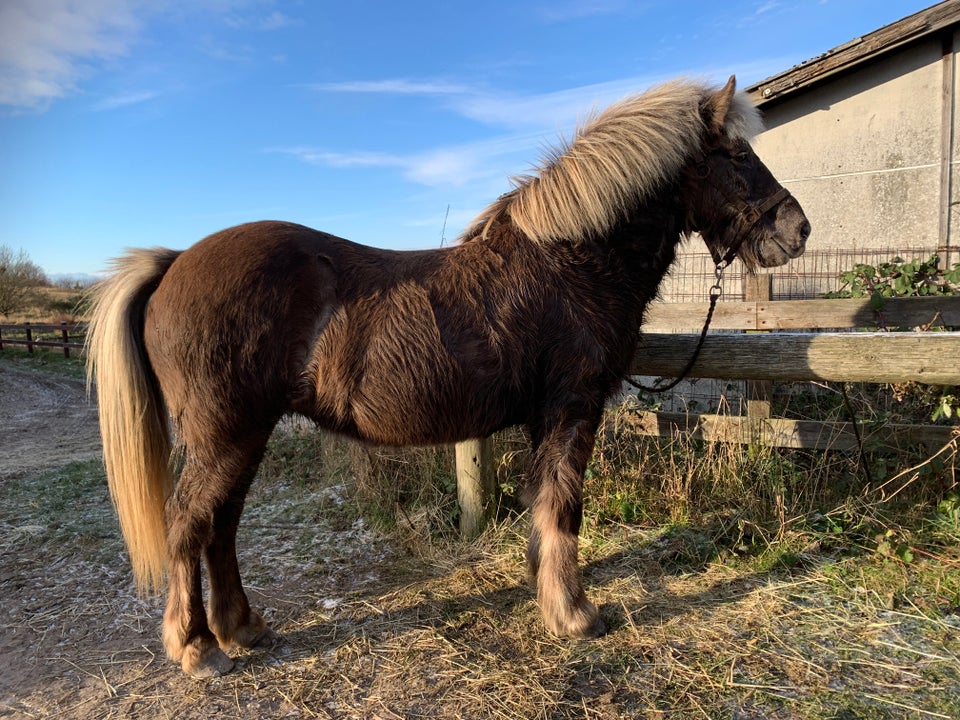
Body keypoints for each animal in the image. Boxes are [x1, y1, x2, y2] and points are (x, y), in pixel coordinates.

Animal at [88, 76, 808, 676]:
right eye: (738, 157)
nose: (798, 229)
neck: (570, 262)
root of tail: (176, 260)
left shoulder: (546, 417)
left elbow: (543, 503)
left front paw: (546, 591)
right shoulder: (573, 406)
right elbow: (563, 504)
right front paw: (574, 614)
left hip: (243, 435)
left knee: (222, 525)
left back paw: (241, 628)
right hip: (224, 435)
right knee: (188, 523)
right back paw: (197, 648)